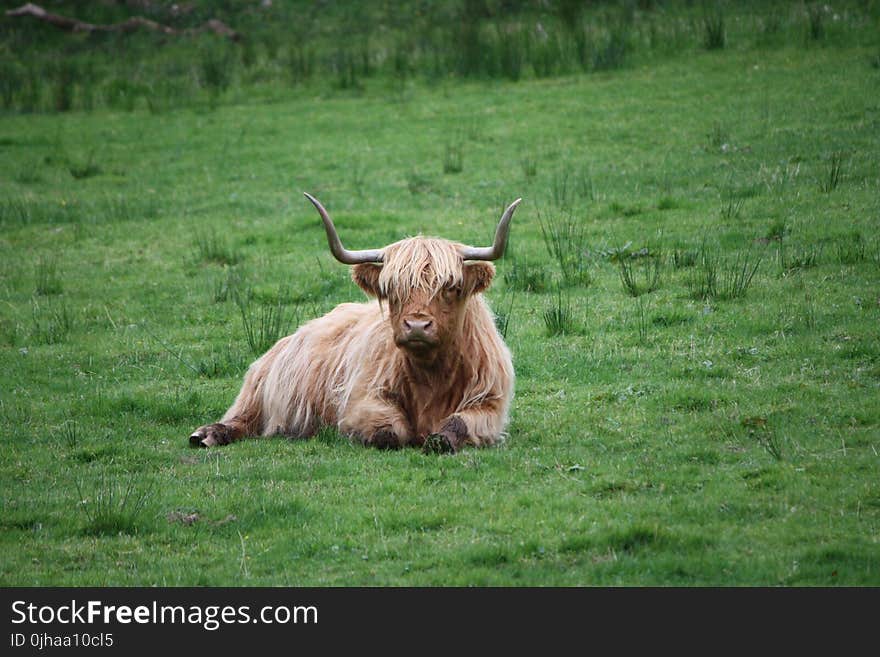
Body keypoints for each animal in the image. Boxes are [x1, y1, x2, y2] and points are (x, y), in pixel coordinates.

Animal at [189, 192, 520, 454]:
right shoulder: (361, 400)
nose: (416, 327)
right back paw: (206, 434)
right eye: (392, 289)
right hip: (258, 391)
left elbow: (458, 424)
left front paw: (439, 440)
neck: (431, 375)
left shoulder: (489, 403)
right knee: (240, 418)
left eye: (451, 287)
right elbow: (390, 432)